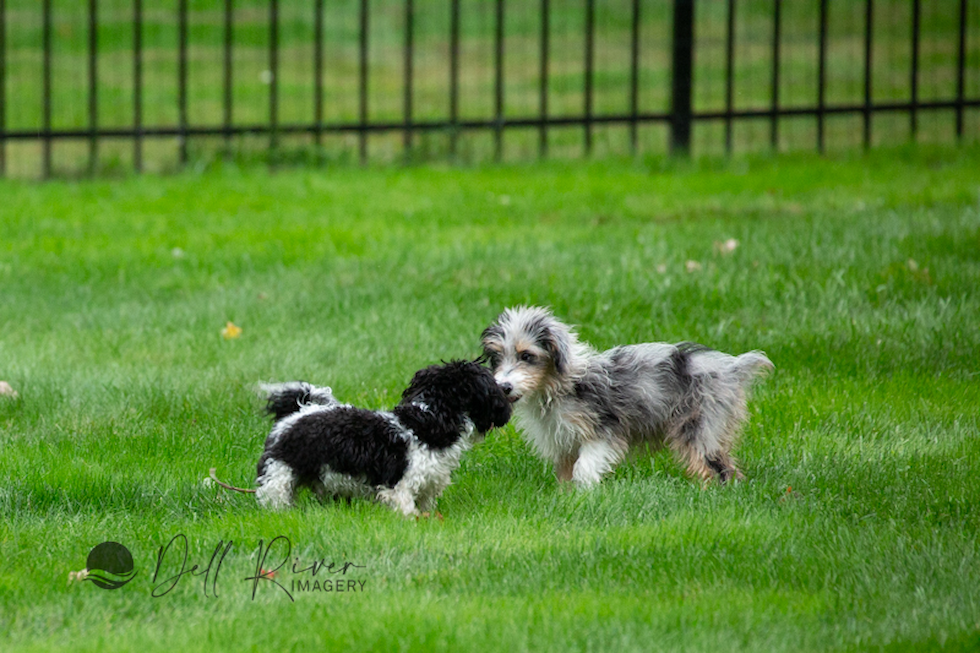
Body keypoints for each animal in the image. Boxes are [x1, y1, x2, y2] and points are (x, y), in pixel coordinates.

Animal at [253, 360, 512, 516]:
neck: (427, 420)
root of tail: (299, 412)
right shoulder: (399, 487)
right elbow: (406, 509)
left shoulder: (429, 484)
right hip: (280, 473)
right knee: (274, 494)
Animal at [482, 308, 772, 486]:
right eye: (497, 357)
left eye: (527, 356)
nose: (503, 386)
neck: (559, 387)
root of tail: (732, 368)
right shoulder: (565, 443)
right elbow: (567, 475)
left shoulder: (605, 432)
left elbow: (584, 469)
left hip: (697, 427)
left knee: (713, 469)